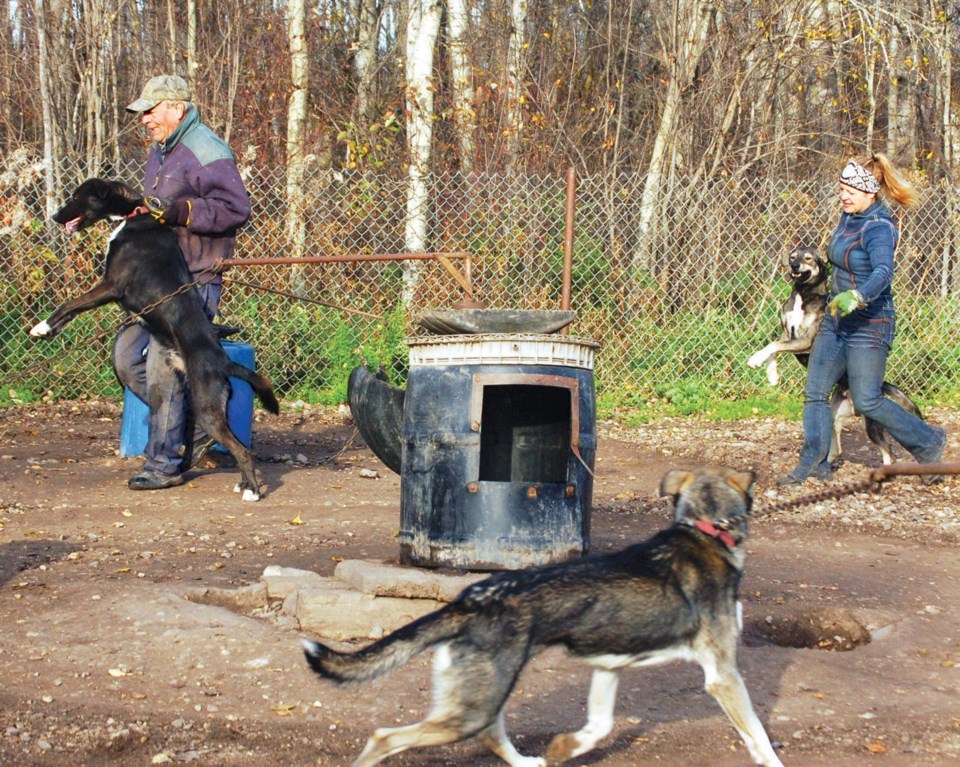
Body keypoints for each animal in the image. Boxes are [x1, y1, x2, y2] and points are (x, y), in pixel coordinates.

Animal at [27, 180, 282, 504]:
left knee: (242, 449)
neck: (133, 216)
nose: (56, 217)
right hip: (206, 404)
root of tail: (223, 360)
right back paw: (226, 477)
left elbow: (69, 305)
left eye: (76, 197)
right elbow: (71, 310)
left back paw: (252, 490)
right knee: (221, 439)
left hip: (207, 405)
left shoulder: (111, 284)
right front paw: (48, 330)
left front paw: (41, 327)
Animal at [304, 468, 784, 767]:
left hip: (484, 698)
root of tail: (470, 599)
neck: (705, 530)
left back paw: (529, 761)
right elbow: (759, 739)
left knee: (492, 736)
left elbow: (598, 727)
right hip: (474, 706)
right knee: (384, 738)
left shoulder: (609, 667)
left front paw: (564, 748)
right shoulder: (722, 675)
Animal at [748, 243, 928, 464]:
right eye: (792, 256)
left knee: (888, 449)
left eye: (808, 258)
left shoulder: (807, 340)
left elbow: (774, 345)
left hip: (872, 423)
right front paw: (772, 374)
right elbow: (774, 348)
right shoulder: (787, 332)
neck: (803, 294)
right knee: (838, 445)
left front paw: (755, 360)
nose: (794, 266)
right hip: (834, 414)